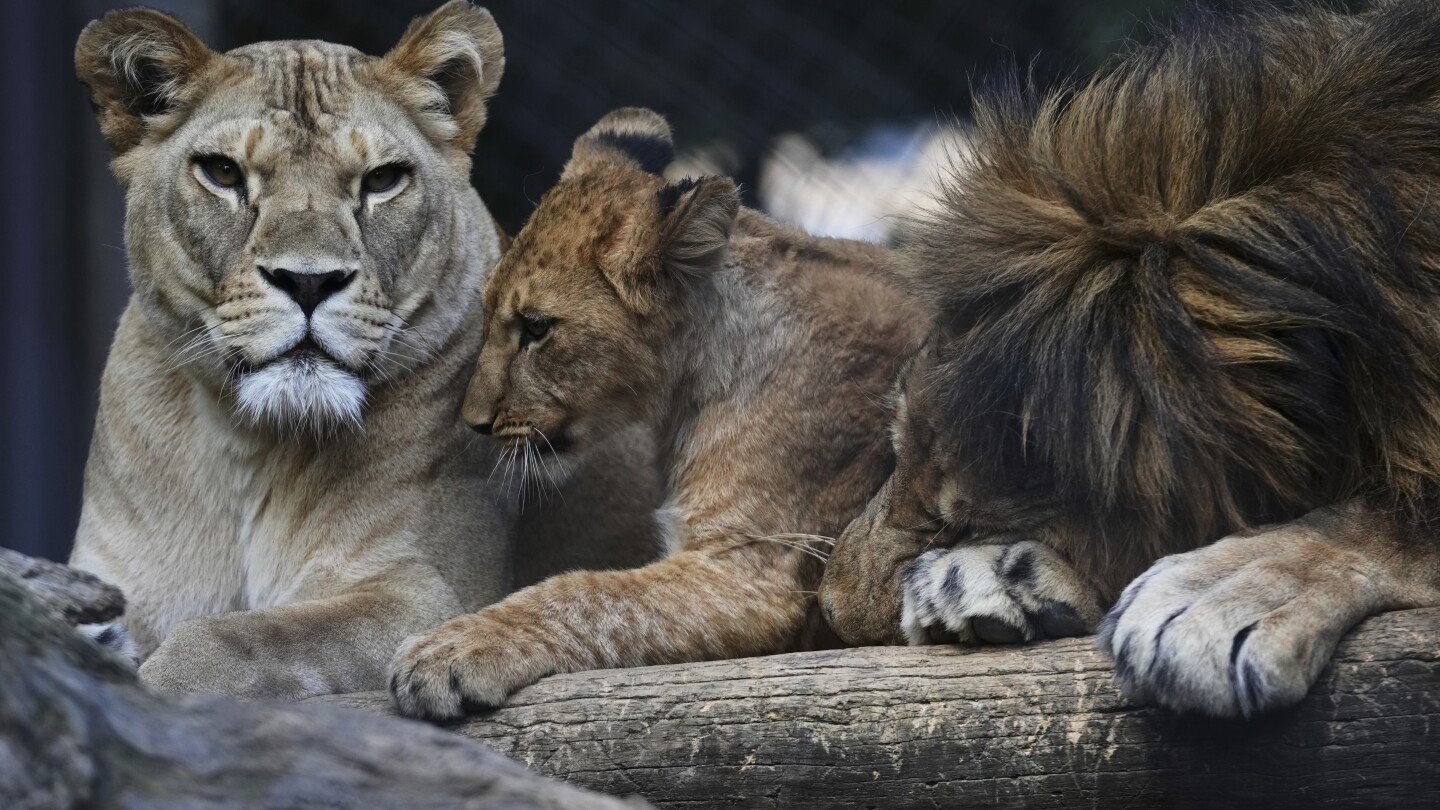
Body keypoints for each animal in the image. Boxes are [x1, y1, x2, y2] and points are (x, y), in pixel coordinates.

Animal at [67, 3, 659, 699]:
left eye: (382, 180)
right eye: (223, 173)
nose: (308, 281)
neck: (250, 445)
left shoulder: (431, 596)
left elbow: (242, 637)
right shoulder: (115, 581)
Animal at [386, 107, 928, 719]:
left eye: (536, 328)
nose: (474, 421)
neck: (688, 383)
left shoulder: (751, 574)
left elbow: (585, 593)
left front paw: (450, 649)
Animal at [818, 0, 1440, 718]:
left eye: (959, 521)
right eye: (894, 449)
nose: (826, 608)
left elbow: (1386, 521)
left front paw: (1220, 595)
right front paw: (992, 582)